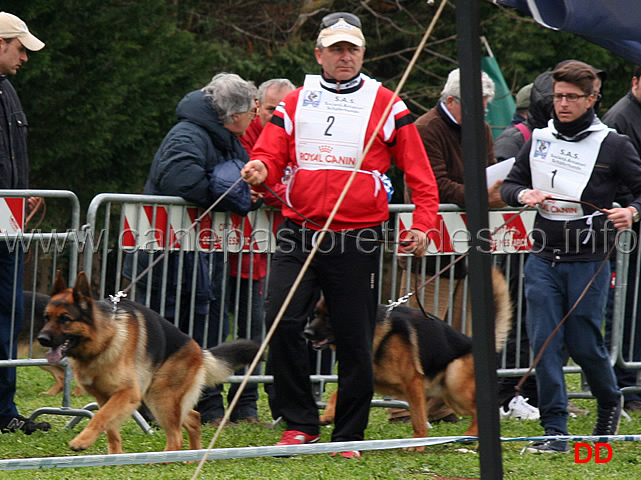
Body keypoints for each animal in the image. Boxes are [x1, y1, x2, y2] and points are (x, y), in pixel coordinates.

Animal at [37, 270, 258, 454]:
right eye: (46, 317)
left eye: (65, 319)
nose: (42, 339)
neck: (104, 339)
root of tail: (198, 348)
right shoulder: (105, 397)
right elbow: (111, 428)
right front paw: (114, 458)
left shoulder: (127, 393)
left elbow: (100, 417)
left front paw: (81, 441)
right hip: (161, 399)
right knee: (194, 418)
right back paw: (190, 458)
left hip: (161, 398)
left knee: (176, 438)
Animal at [304, 266, 510, 450]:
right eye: (316, 314)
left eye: (329, 316)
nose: (306, 333)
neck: (374, 332)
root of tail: (473, 342)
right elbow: (336, 394)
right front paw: (328, 415)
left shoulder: (413, 383)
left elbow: (418, 418)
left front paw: (417, 443)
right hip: (451, 396)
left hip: (455, 380)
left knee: (481, 410)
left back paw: (473, 437)